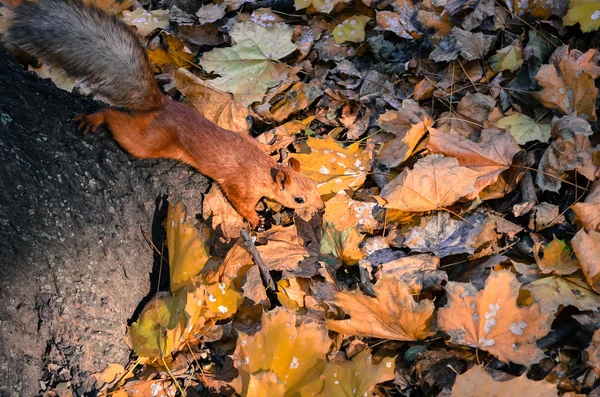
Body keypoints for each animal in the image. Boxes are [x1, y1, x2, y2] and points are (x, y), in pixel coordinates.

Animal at [4, 0, 324, 227]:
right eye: (299, 198)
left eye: (315, 185)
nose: (320, 207)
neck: (263, 168)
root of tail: (164, 105)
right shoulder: (240, 186)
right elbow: (241, 203)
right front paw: (255, 218)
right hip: (148, 141)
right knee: (117, 120)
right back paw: (97, 116)